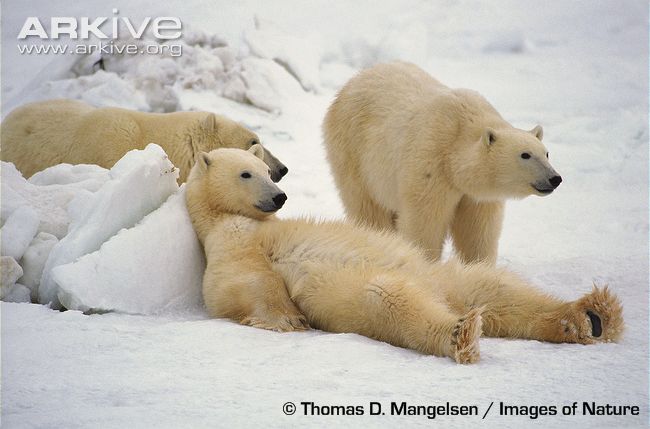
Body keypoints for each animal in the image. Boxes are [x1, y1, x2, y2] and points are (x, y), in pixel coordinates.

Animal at [185, 147, 622, 364]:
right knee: (388, 299)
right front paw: (287, 319)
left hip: (441, 275)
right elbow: (242, 284)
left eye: (266, 170)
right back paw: (461, 333)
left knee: (494, 288)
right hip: (364, 291)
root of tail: (444, 297)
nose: (279, 196)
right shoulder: (229, 244)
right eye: (246, 173)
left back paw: (590, 316)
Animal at [323, 62, 562, 264]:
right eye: (525, 155)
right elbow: (425, 222)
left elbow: (478, 230)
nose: (555, 178)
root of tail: (354, 80)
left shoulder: (476, 196)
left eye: (546, 153)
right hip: (353, 152)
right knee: (368, 208)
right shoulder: (431, 163)